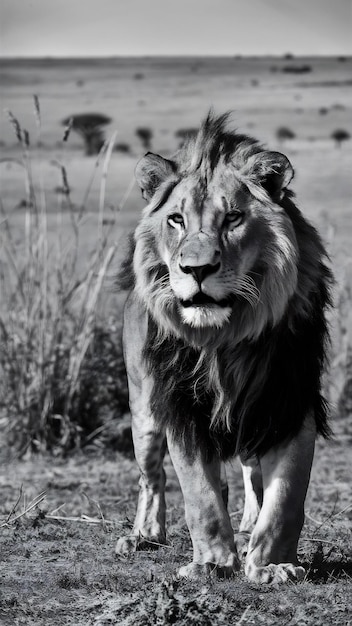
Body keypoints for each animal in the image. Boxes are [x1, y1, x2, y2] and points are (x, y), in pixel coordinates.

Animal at [116, 111, 332, 580]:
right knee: (151, 478)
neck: (225, 339)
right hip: (143, 411)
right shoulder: (181, 408)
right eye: (176, 220)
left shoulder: (289, 401)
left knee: (251, 475)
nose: (197, 269)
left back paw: (249, 528)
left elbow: (285, 499)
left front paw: (272, 565)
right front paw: (212, 563)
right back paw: (144, 536)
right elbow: (201, 496)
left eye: (233, 218)